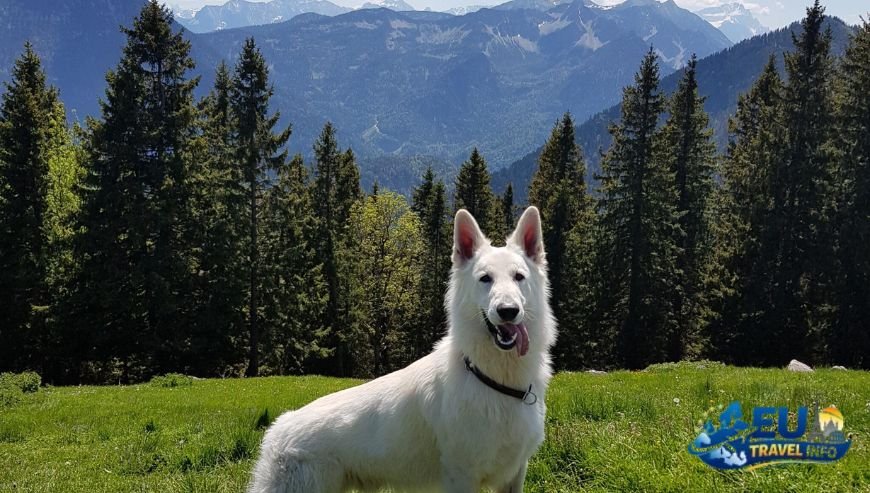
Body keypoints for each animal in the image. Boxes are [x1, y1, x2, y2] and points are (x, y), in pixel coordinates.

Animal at [249, 206, 556, 493]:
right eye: (485, 279)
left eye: (519, 277)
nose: (508, 311)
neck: (494, 379)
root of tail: (277, 429)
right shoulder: (462, 476)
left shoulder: (515, 474)